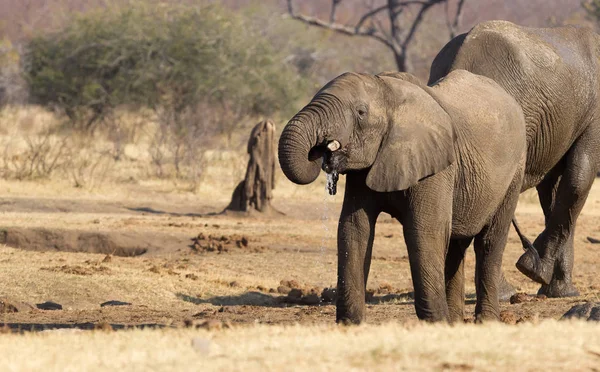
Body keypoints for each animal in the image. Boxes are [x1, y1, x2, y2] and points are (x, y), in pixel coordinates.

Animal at [278, 69, 524, 322]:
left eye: (360, 112)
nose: (322, 150)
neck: (391, 92)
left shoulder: (437, 166)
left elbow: (424, 231)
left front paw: (435, 323)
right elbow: (354, 228)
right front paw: (350, 325)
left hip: (514, 173)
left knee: (489, 243)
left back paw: (485, 320)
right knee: (456, 244)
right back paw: (455, 322)